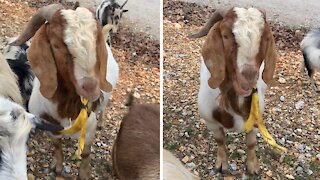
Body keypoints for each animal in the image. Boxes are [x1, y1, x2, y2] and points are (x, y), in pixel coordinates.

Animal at [11, 3, 119, 179]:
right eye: (56, 45)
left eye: (96, 43)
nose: (91, 90)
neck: (67, 108)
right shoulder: (51, 127)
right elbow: (57, 146)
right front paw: (58, 167)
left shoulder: (90, 127)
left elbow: (86, 152)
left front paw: (84, 174)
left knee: (104, 109)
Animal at [190, 7, 278, 175]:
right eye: (225, 36)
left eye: (264, 38)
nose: (248, 78)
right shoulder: (211, 122)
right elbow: (220, 140)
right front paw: (221, 165)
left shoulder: (255, 120)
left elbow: (251, 143)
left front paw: (253, 167)